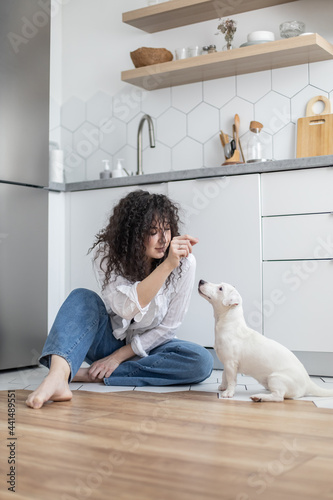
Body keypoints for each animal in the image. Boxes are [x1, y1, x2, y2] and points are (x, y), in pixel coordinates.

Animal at [197, 282, 332, 402]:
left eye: (220, 288)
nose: (201, 281)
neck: (229, 324)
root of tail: (308, 382)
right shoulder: (227, 363)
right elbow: (224, 376)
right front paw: (222, 387)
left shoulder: (231, 363)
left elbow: (231, 380)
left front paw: (228, 392)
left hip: (275, 378)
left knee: (279, 397)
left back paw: (259, 397)